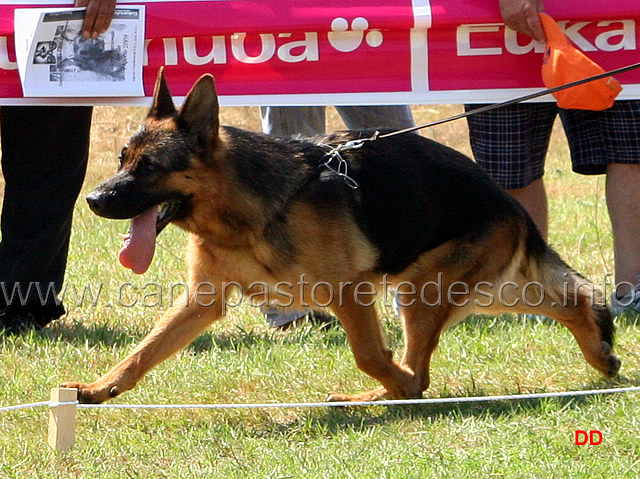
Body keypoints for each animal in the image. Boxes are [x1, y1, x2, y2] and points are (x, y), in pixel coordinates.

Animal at [65, 69, 620, 404]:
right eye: (121, 160)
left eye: (149, 168)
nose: (92, 200)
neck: (247, 213)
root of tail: (507, 200)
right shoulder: (203, 301)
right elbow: (144, 350)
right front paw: (99, 388)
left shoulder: (349, 291)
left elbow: (369, 355)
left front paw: (396, 381)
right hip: (465, 289)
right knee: (569, 299)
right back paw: (599, 347)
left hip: (424, 289)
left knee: (424, 367)